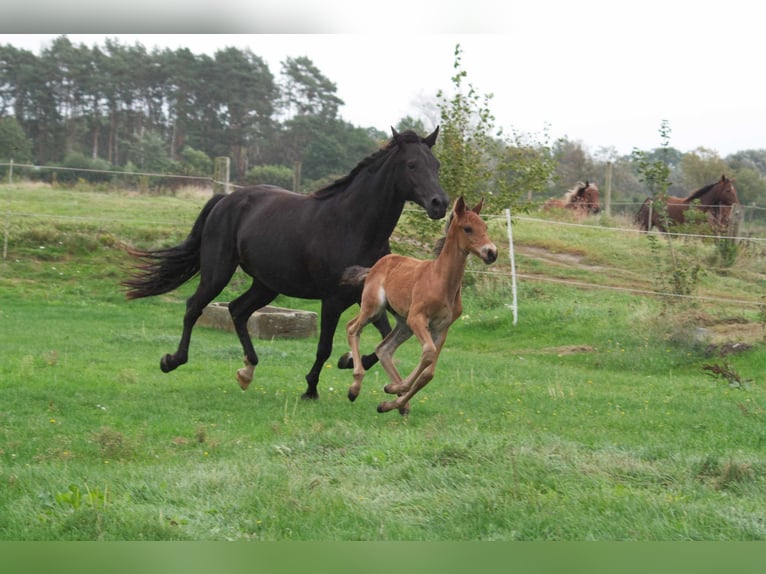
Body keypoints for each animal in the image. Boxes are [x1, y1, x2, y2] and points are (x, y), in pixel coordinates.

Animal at [123, 129, 450, 402]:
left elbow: (385, 338)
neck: (352, 225)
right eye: (411, 165)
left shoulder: (367, 296)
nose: (440, 203)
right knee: (195, 306)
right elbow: (325, 346)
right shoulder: (332, 300)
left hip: (266, 284)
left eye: (436, 165)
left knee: (237, 310)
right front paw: (310, 389)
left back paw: (247, 372)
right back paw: (172, 361)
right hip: (218, 272)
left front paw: (347, 362)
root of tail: (226, 199)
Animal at [342, 198, 498, 418]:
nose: (492, 253)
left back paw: (400, 402)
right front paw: (394, 389)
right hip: (375, 308)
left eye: (485, 227)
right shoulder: (417, 318)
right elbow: (428, 353)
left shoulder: (441, 328)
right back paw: (354, 388)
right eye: (468, 228)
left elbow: (428, 373)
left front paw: (389, 400)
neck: (441, 281)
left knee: (384, 349)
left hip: (403, 324)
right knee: (352, 328)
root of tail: (375, 267)